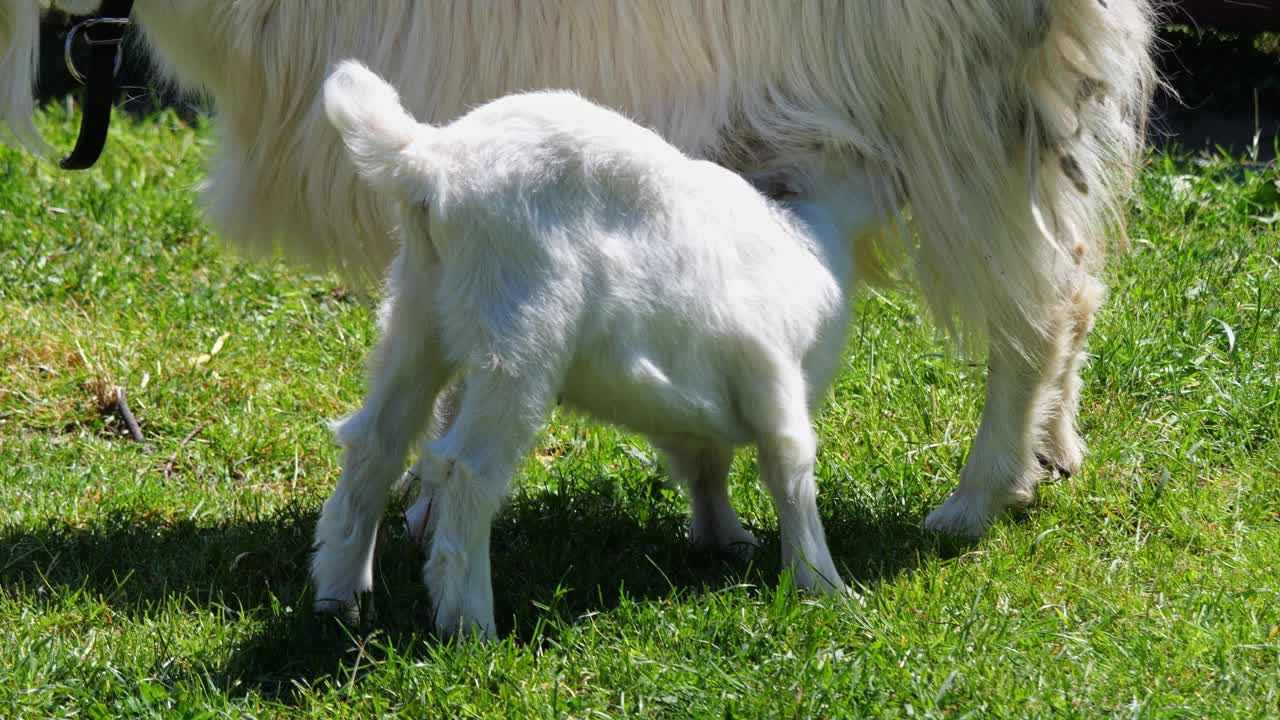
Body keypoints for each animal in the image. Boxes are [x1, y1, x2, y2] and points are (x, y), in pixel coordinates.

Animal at [0, 0, 1162, 556]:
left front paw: (427, 508)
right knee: (1073, 284)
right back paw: (1049, 456)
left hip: (959, 119)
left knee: (1037, 307)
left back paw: (974, 499)